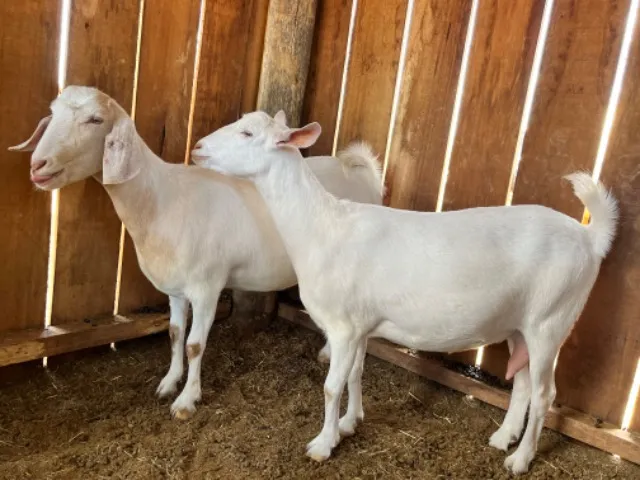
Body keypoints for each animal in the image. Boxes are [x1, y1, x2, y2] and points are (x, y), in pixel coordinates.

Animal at [9, 86, 383, 419]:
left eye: (95, 119)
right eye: (53, 113)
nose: (38, 165)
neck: (162, 200)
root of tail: (360, 172)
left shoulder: (207, 287)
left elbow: (194, 345)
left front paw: (187, 401)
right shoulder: (176, 288)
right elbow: (175, 334)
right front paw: (168, 383)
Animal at [195, 111, 618, 474]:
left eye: (247, 133)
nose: (198, 147)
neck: (322, 227)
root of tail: (589, 237)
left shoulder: (343, 326)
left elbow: (331, 386)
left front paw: (323, 444)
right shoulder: (361, 324)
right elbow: (356, 374)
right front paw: (351, 422)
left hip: (552, 319)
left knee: (545, 392)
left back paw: (520, 459)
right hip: (519, 323)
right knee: (525, 382)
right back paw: (503, 438)